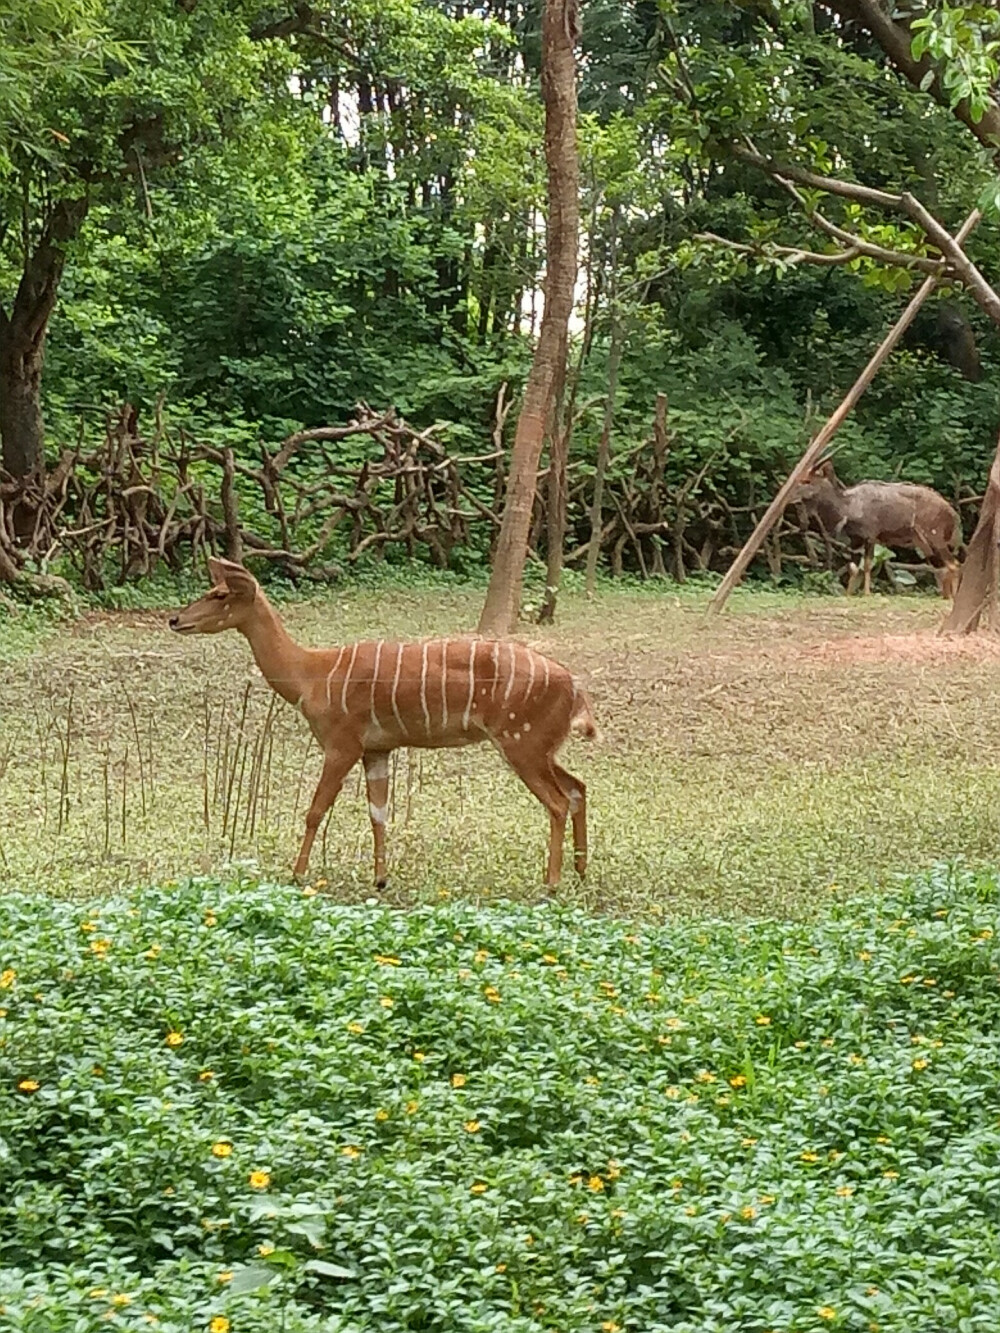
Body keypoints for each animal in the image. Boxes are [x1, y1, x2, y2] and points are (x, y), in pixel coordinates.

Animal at [168, 557, 600, 890]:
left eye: (219, 594)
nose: (175, 619)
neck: (311, 674)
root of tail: (576, 688)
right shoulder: (377, 749)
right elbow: (378, 813)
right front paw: (380, 879)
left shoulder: (341, 744)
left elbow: (315, 810)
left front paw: (297, 874)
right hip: (539, 746)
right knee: (578, 787)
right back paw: (580, 873)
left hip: (520, 742)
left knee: (558, 802)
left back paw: (552, 883)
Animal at [789, 463, 965, 599]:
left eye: (806, 480)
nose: (790, 498)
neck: (851, 505)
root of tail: (952, 513)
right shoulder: (855, 540)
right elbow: (853, 568)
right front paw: (848, 594)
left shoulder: (870, 537)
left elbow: (867, 564)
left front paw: (867, 594)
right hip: (925, 546)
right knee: (943, 568)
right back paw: (946, 596)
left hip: (935, 539)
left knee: (954, 565)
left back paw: (953, 597)